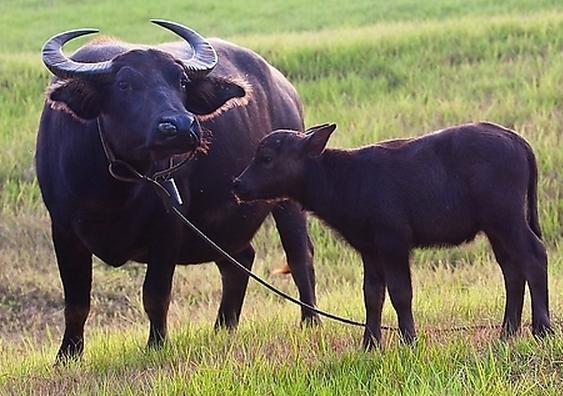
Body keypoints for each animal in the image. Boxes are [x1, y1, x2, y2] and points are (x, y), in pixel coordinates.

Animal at [37, 20, 320, 362]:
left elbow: (155, 295)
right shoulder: (63, 230)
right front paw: (67, 354)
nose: (182, 126)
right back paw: (223, 327)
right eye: (124, 84)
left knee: (299, 255)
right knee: (238, 261)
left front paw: (156, 343)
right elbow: (76, 302)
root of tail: (284, 89)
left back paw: (310, 321)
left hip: (286, 201)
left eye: (181, 81)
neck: (114, 184)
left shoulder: (168, 226)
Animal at [235, 122, 556, 348]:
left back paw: (542, 329)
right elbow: (372, 295)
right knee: (512, 269)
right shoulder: (369, 249)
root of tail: (514, 139)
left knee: (534, 256)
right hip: (496, 227)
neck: (345, 178)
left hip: (507, 218)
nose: (237, 184)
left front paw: (409, 340)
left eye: (266, 158)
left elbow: (401, 293)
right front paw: (369, 344)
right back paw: (507, 332)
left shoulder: (394, 244)